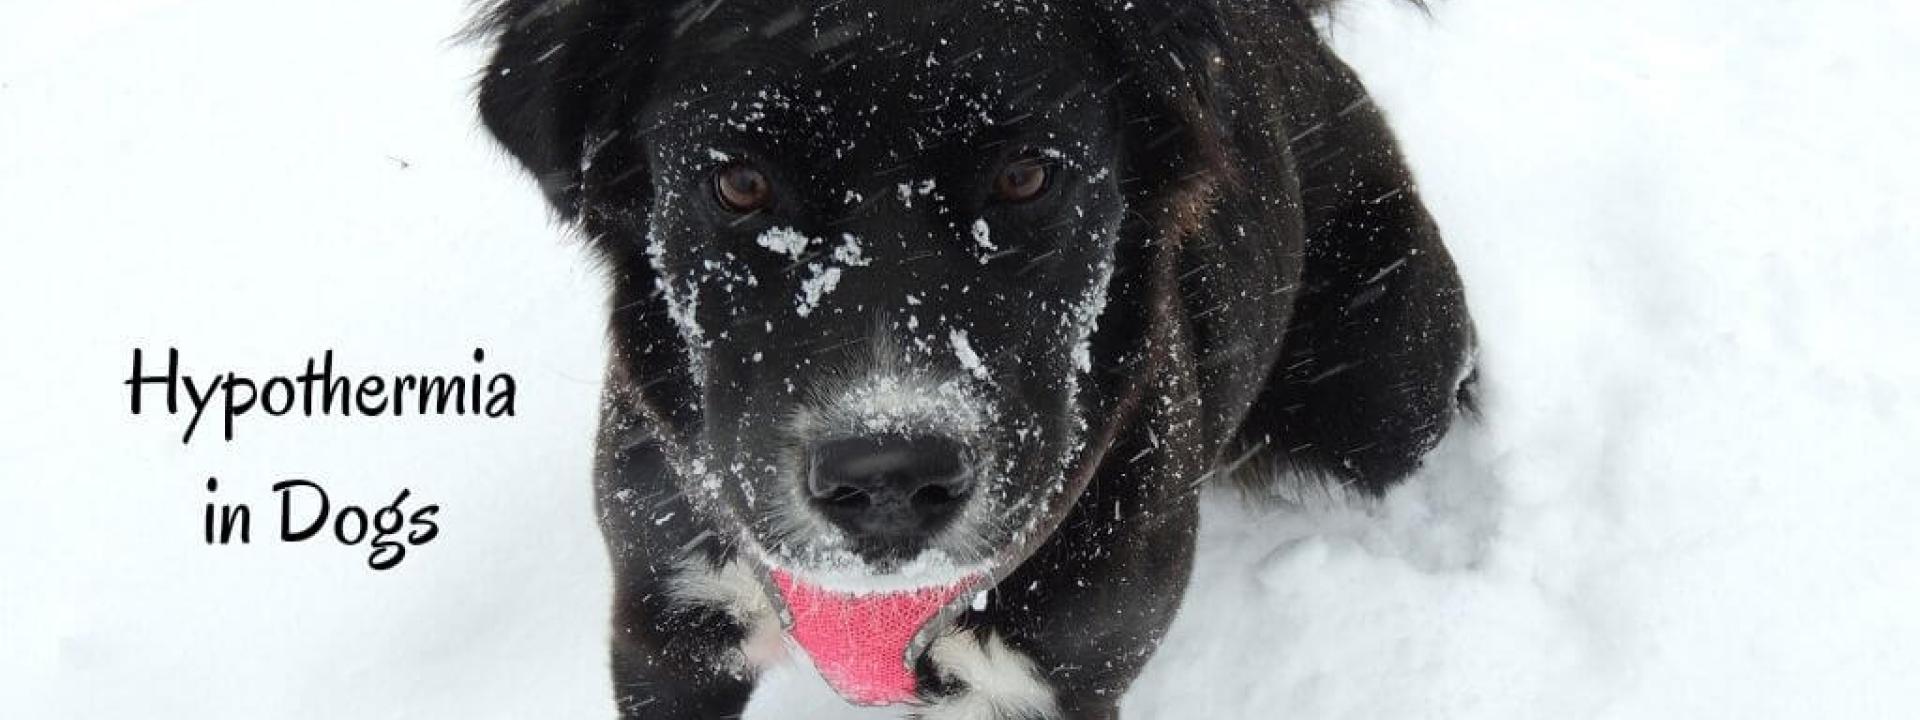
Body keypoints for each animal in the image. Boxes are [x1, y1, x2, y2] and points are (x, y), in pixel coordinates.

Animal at [476, 1, 1466, 718]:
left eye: (1025, 176)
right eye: (740, 184)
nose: (886, 481)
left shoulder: (1059, 679)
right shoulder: (666, 623)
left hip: (1386, 400)